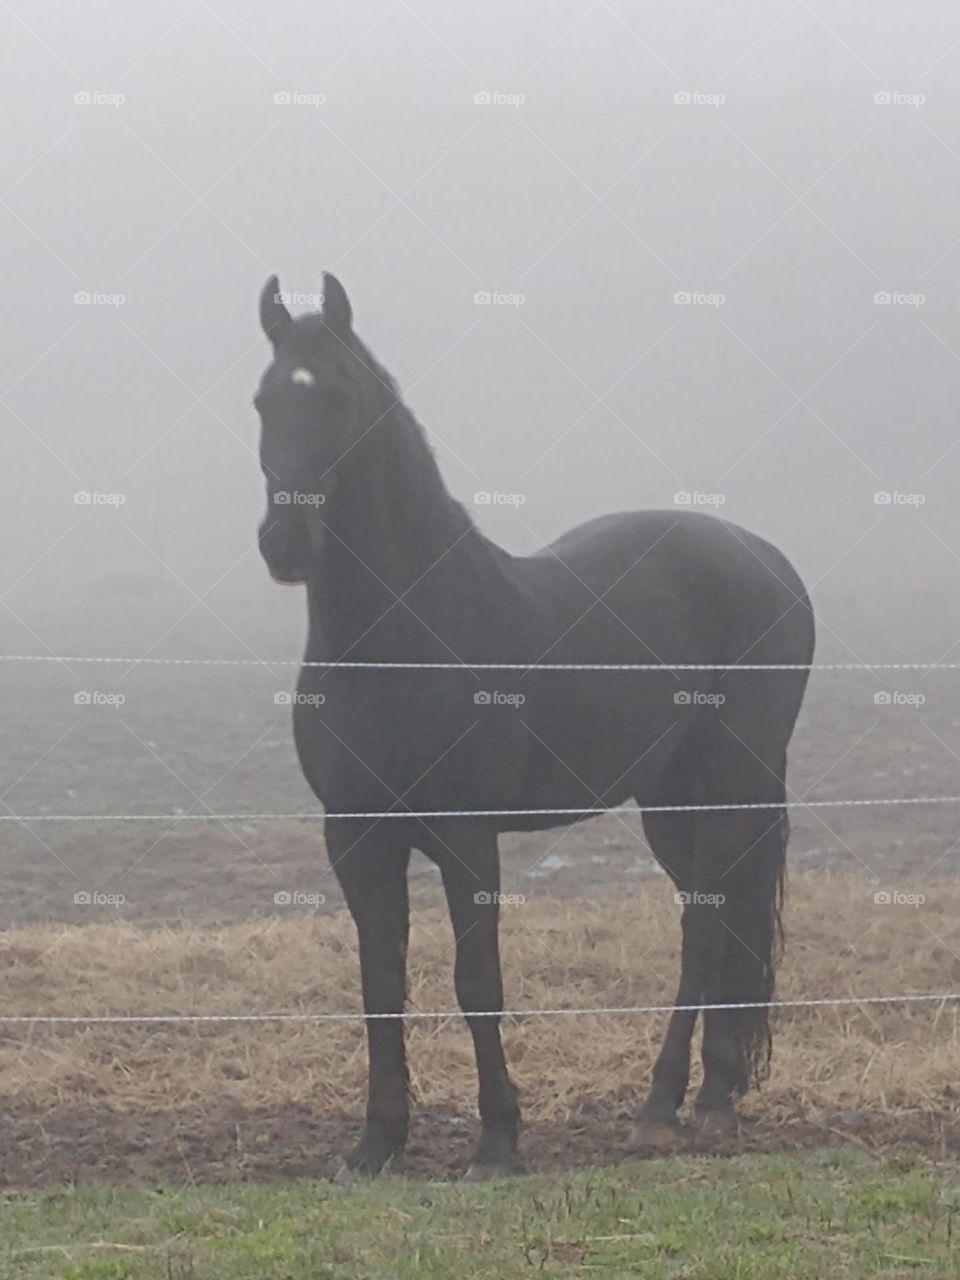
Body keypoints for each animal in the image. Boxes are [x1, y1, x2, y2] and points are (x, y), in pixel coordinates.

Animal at [254, 273, 815, 1181]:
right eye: (264, 399)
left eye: (337, 396)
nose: (285, 543)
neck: (398, 641)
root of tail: (767, 561)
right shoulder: (355, 835)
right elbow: (381, 984)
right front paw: (374, 1146)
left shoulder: (465, 835)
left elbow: (476, 979)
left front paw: (496, 1143)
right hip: (669, 800)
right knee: (712, 918)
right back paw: (689, 1100)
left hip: (733, 783)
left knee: (711, 928)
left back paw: (689, 1106)